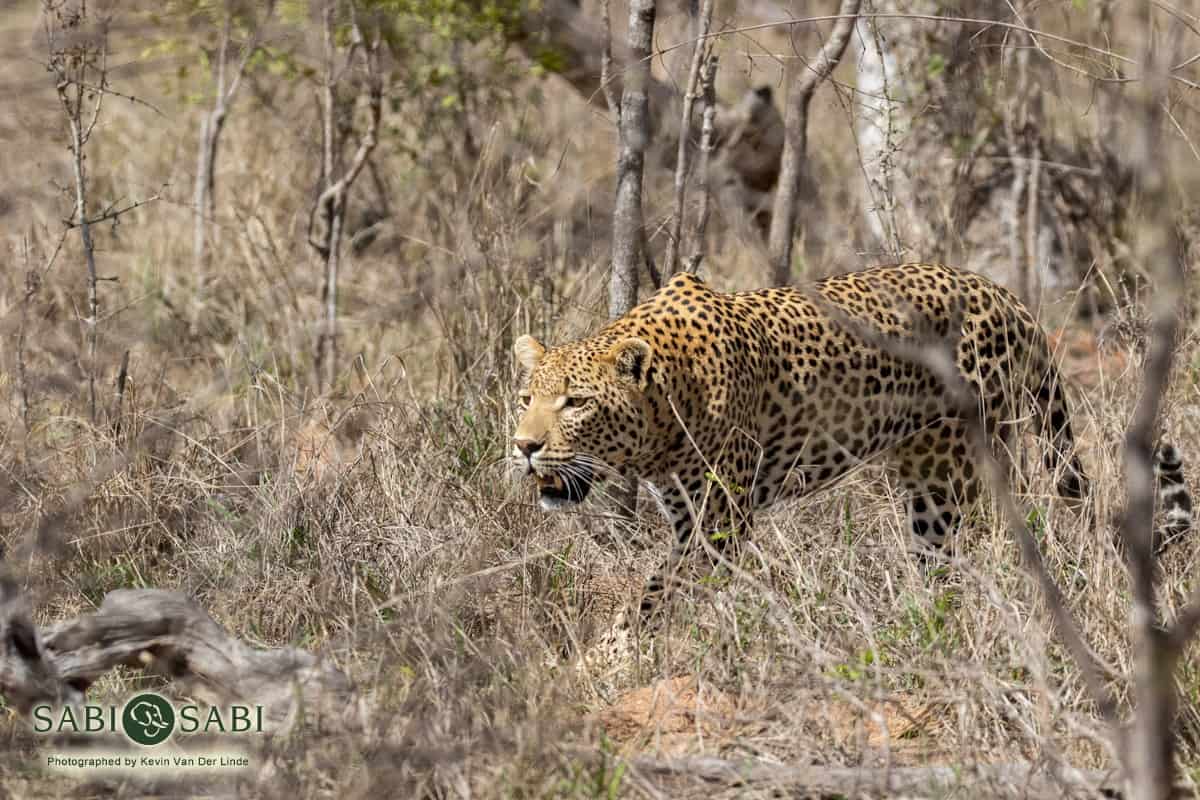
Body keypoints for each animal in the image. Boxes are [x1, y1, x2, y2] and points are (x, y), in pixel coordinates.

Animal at [511, 266, 1185, 623]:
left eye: (576, 403)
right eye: (525, 399)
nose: (523, 447)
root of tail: (1006, 296)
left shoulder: (717, 524)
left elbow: (655, 598)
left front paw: (613, 660)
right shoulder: (685, 514)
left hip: (954, 470)